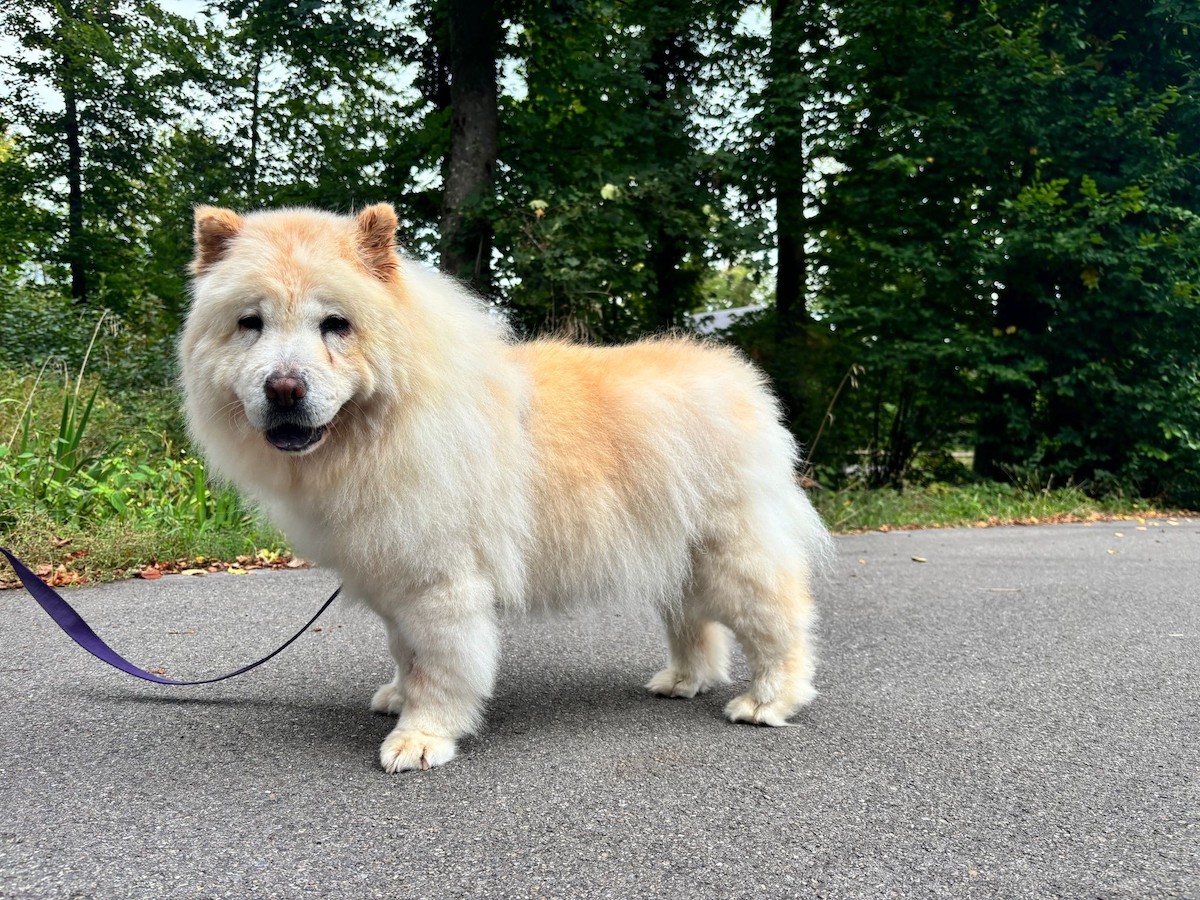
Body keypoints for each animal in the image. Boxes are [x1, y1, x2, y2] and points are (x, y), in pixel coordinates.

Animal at [179, 204, 831, 772]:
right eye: (251, 323)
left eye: (335, 324)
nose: (284, 387)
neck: (384, 426)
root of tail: (739, 379)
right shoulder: (396, 576)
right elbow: (404, 654)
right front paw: (398, 696)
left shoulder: (440, 583)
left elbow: (439, 667)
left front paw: (421, 737)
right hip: (678, 555)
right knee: (695, 623)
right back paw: (683, 681)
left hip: (731, 553)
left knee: (781, 622)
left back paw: (767, 701)